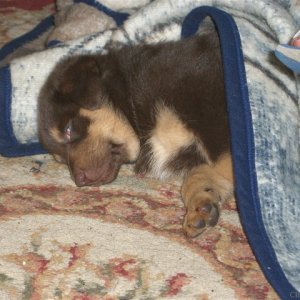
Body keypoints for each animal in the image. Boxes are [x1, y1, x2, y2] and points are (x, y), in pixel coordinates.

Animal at [38, 29, 234, 238]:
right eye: (59, 159)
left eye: (68, 129)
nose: (79, 181)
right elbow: (199, 176)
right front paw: (200, 205)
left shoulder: (214, 114)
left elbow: (224, 163)